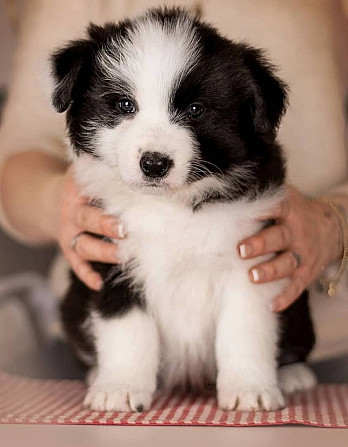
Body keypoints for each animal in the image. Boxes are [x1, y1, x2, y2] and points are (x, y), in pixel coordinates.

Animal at [51, 7, 316, 412]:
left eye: (195, 109)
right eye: (124, 105)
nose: (154, 163)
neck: (170, 207)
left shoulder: (252, 261)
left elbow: (245, 330)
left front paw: (250, 389)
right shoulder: (111, 259)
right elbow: (127, 329)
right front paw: (120, 387)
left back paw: (293, 374)